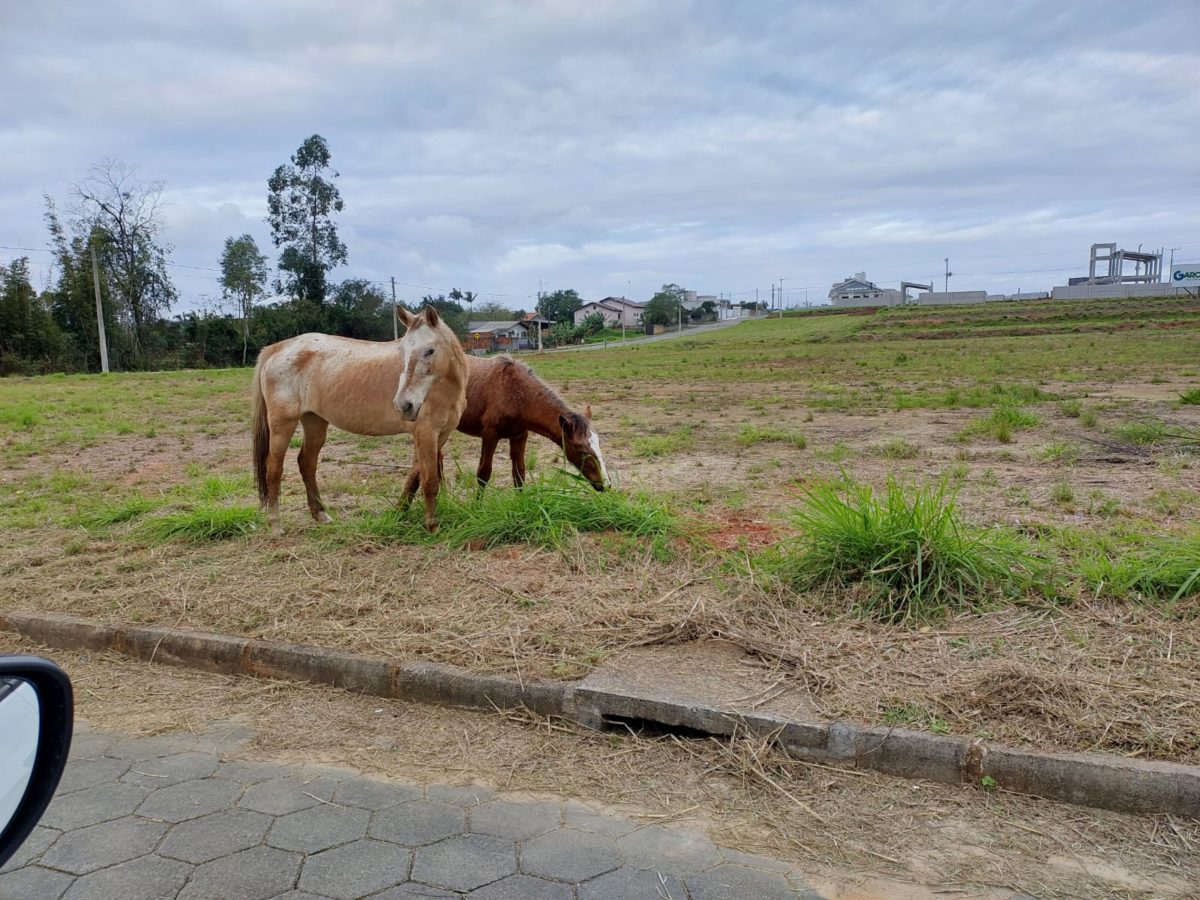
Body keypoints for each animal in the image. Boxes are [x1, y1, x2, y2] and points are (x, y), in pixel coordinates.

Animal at [253, 309, 468, 535]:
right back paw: (275, 524)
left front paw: (400, 512)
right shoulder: (426, 433)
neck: (443, 387)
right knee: (274, 469)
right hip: (282, 424)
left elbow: (414, 478)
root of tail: (278, 348)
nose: (403, 405)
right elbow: (430, 481)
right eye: (402, 351)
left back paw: (321, 515)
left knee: (307, 464)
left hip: (315, 422)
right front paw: (431, 526)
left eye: (429, 351)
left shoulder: (440, 435)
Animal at [458, 355, 609, 494]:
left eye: (599, 444)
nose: (606, 485)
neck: (511, 391)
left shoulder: (519, 435)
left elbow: (519, 474)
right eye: (582, 452)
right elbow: (483, 474)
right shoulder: (490, 435)